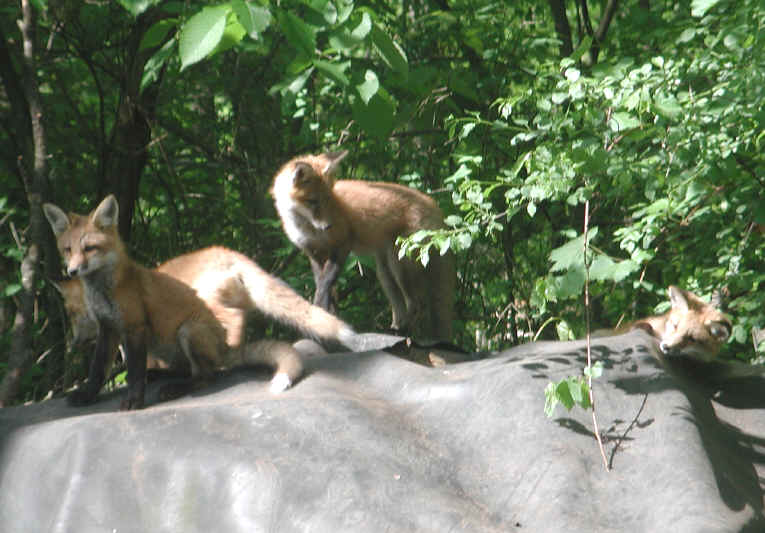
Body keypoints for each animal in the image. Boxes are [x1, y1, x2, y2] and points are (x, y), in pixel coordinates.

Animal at [43, 195, 352, 409]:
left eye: (89, 248)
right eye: (67, 250)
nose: (72, 270)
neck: (106, 291)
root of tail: (231, 253)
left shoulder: (134, 327)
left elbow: (133, 373)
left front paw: (134, 400)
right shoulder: (109, 329)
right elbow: (97, 370)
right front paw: (86, 395)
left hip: (190, 328)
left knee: (208, 373)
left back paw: (180, 386)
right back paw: (165, 376)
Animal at [271, 150, 455, 342]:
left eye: (329, 199)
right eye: (313, 201)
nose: (329, 226)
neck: (306, 227)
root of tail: (434, 206)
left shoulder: (342, 244)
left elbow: (324, 285)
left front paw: (320, 315)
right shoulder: (314, 253)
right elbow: (327, 290)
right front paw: (330, 321)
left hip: (399, 265)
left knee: (418, 304)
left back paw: (401, 332)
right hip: (385, 272)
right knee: (402, 307)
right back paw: (397, 329)